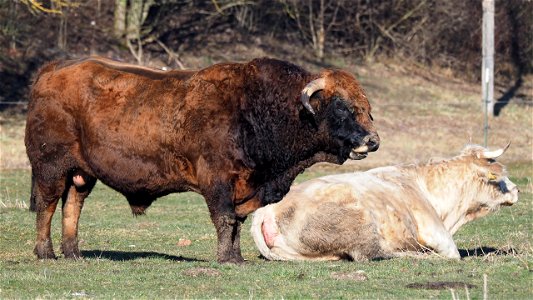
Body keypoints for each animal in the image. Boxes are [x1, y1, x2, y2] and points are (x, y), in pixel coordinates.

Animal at [26, 56, 378, 262]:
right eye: (342, 106)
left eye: (366, 107)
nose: (372, 141)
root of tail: (51, 70)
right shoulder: (218, 181)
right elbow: (225, 220)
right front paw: (225, 259)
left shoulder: (245, 188)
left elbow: (237, 222)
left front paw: (236, 257)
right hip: (50, 169)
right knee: (47, 206)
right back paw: (46, 253)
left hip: (81, 175)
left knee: (72, 206)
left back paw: (73, 253)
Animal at [251, 145, 516, 260]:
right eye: (500, 175)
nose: (516, 190)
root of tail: (267, 211)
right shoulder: (438, 234)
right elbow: (453, 254)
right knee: (373, 254)